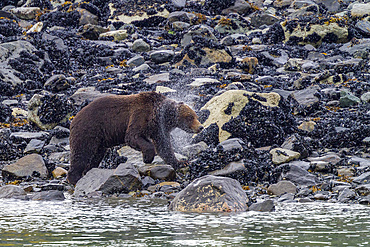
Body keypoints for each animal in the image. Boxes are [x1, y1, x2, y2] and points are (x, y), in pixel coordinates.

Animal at [68, 92, 204, 185]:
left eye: (196, 116)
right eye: (190, 117)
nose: (201, 127)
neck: (159, 113)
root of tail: (74, 118)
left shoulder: (158, 128)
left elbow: (164, 146)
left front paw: (181, 162)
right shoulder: (140, 114)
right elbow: (132, 136)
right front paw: (147, 157)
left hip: (100, 140)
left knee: (96, 155)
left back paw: (89, 171)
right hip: (89, 130)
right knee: (81, 153)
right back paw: (75, 178)